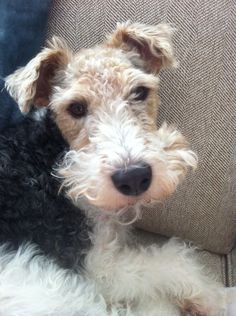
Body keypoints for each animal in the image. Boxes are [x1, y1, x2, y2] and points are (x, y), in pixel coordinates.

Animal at [0, 21, 228, 314]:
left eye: (140, 92)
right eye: (75, 108)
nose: (133, 177)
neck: (49, 156)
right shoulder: (98, 268)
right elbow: (174, 261)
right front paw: (214, 298)